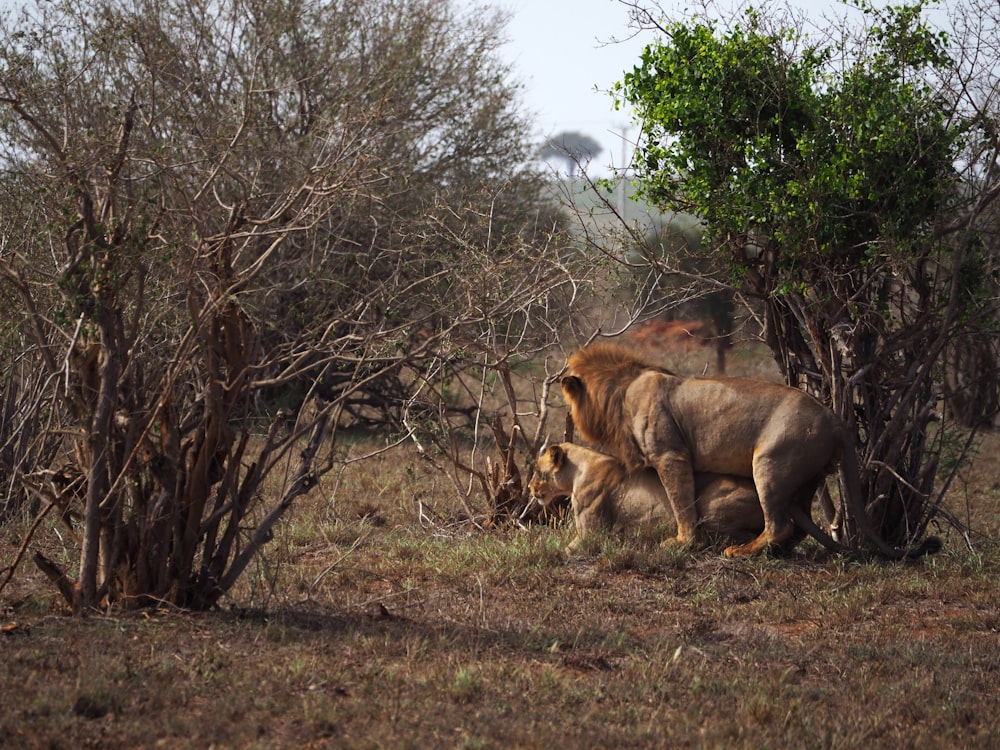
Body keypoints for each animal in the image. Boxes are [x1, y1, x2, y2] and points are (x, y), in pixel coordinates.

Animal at [568, 340, 940, 560]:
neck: (624, 387)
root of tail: (835, 420)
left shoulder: (671, 455)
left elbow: (681, 502)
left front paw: (683, 543)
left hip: (770, 463)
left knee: (778, 525)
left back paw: (742, 551)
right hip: (806, 478)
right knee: (794, 527)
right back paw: (776, 551)